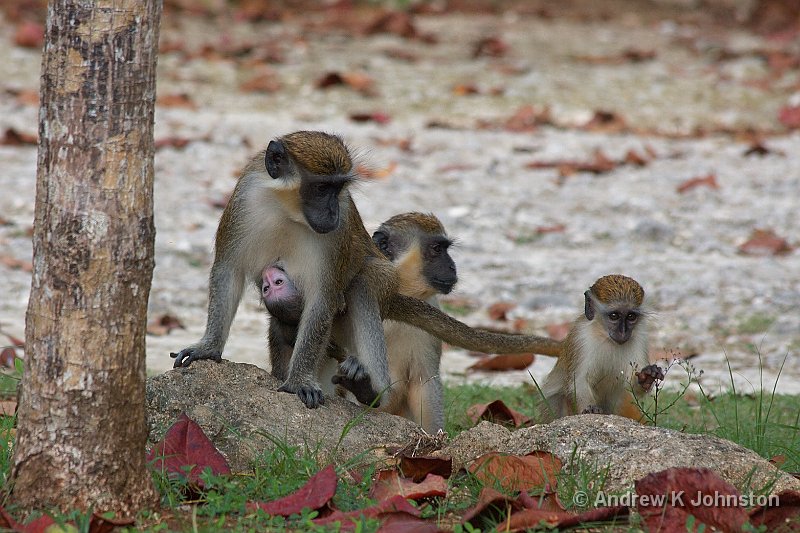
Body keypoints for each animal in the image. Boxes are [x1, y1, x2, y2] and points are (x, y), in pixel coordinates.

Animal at [540, 274, 664, 420]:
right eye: (614, 316)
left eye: (631, 316)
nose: (623, 332)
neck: (605, 335)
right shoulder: (580, 337)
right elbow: (579, 382)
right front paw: (590, 408)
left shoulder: (640, 337)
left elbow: (633, 386)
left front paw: (647, 377)